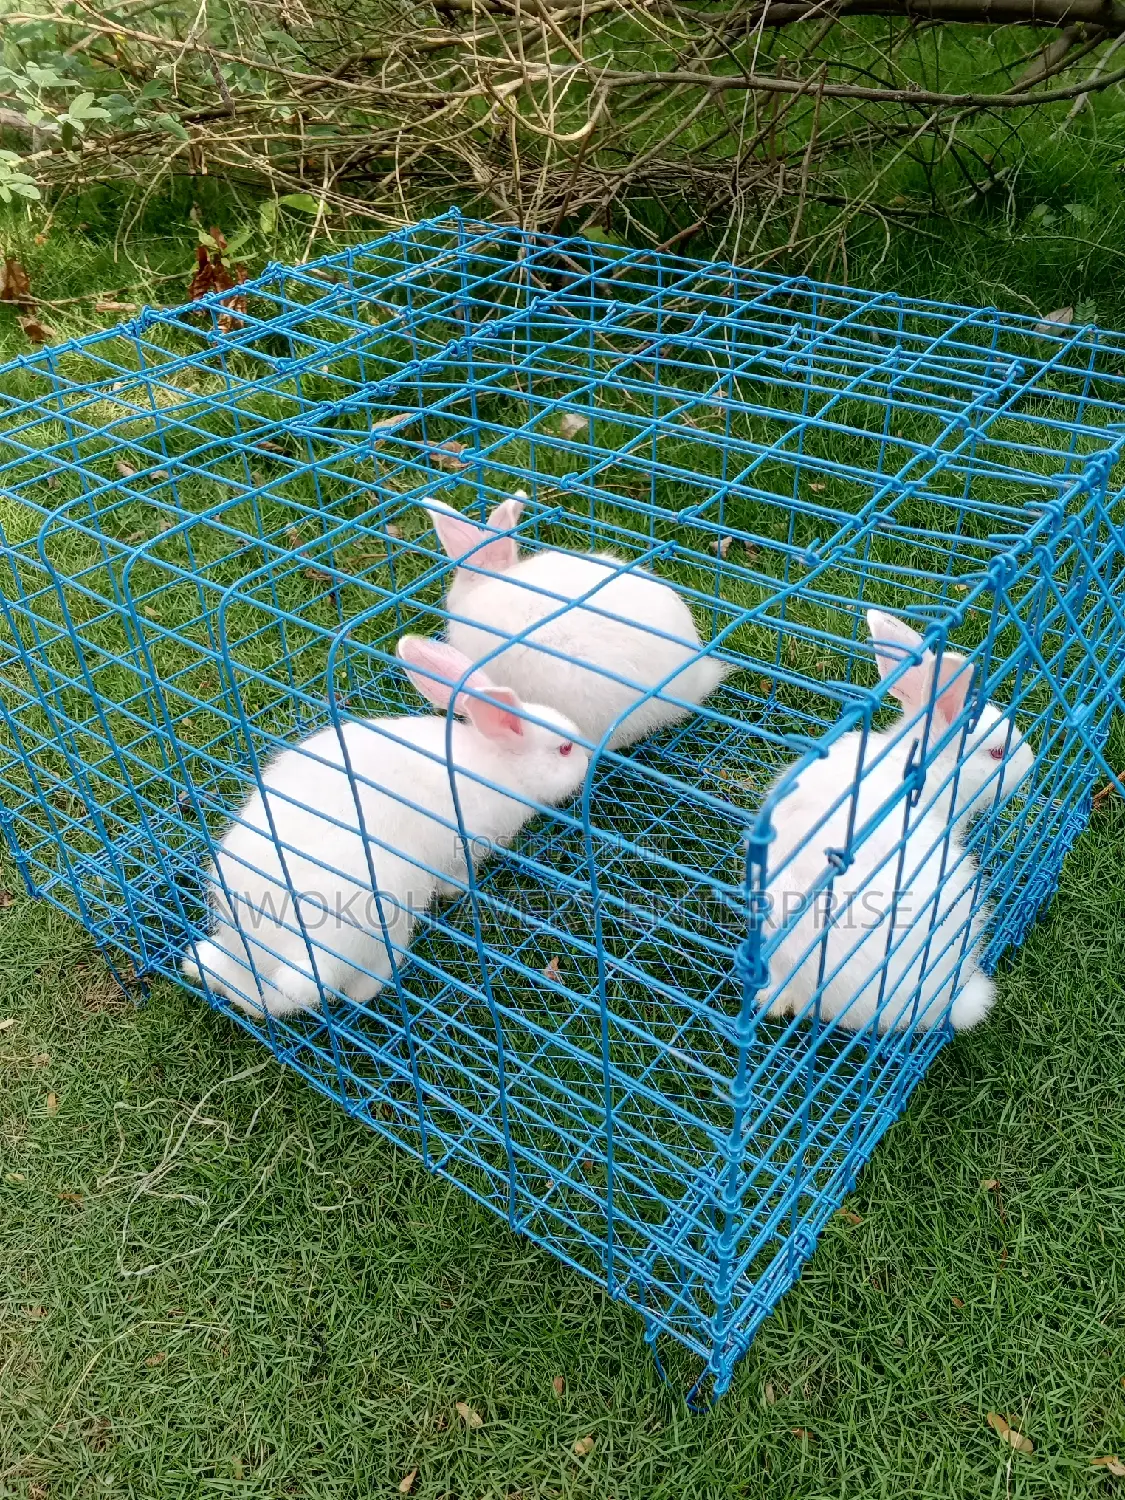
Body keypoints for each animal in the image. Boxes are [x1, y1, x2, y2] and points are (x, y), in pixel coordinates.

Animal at [182, 637, 588, 1018]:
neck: (500, 764)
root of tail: (284, 951)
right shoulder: (465, 846)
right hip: (387, 913)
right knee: (354, 986)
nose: (587, 759)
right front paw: (456, 892)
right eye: (565, 749)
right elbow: (456, 876)